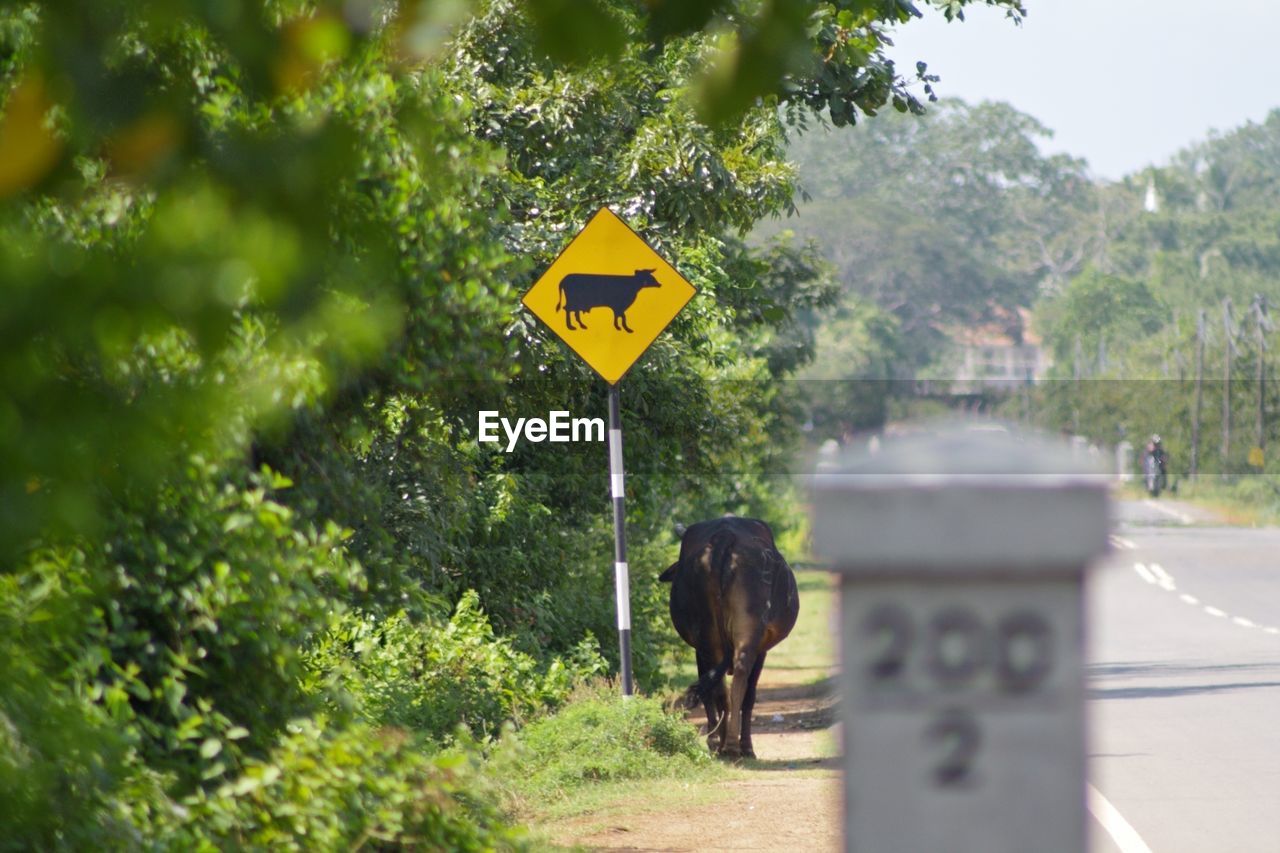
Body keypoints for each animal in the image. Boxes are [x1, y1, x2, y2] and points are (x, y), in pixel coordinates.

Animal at [660, 514, 798, 753]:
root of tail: (725, 534)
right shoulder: (761, 650)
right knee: (739, 678)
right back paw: (731, 744)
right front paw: (746, 745)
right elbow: (749, 695)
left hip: (708, 637)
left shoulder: (699, 648)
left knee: (717, 689)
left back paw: (723, 742)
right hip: (746, 633)